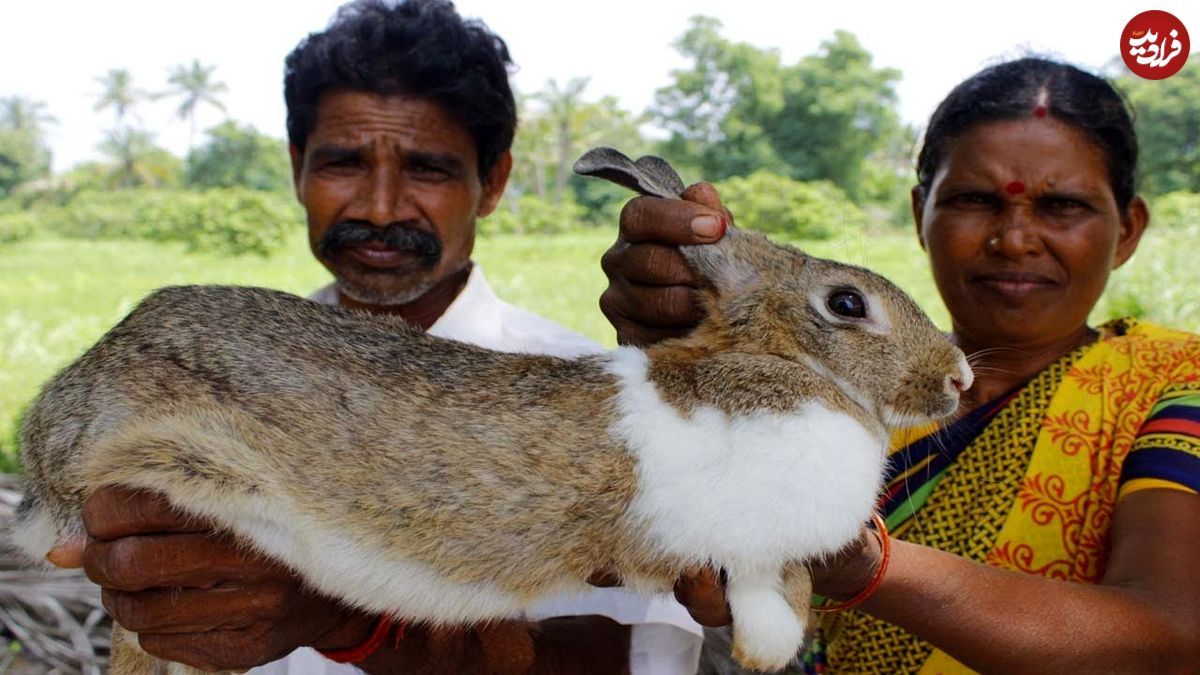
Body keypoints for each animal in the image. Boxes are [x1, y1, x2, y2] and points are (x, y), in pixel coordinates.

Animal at [11, 148, 974, 672]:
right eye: (846, 304)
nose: (960, 376)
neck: (781, 366)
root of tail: (52, 423)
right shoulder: (734, 538)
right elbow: (763, 585)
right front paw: (767, 645)